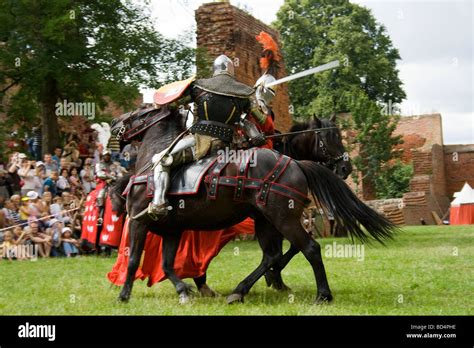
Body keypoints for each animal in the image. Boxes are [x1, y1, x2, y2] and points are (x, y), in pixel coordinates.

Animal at [115, 108, 396, 304]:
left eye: (136, 115)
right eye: (327, 139)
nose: (346, 168)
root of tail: (295, 164)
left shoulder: (140, 222)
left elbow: (135, 259)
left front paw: (124, 295)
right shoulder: (170, 229)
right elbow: (165, 263)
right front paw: (183, 291)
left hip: (280, 219)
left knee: (308, 248)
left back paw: (321, 295)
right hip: (268, 220)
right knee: (274, 254)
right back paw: (230, 290)